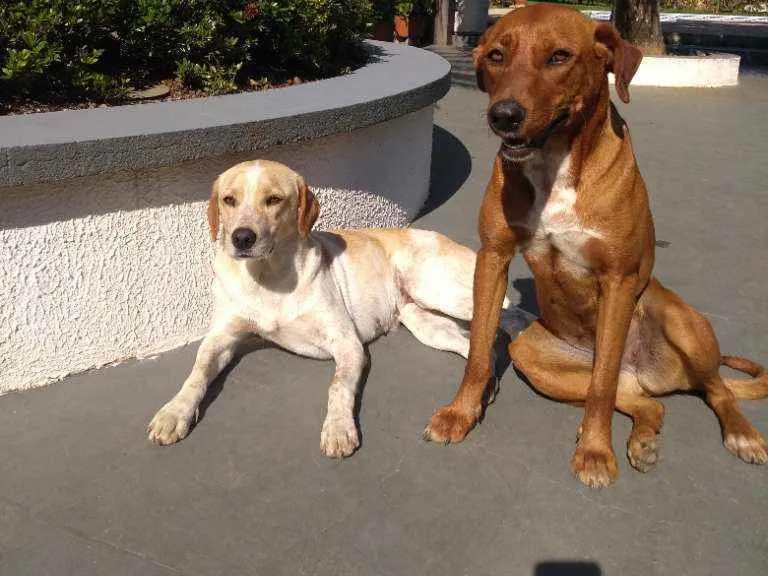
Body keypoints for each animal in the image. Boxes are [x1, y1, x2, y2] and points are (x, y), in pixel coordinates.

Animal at [148, 160, 528, 456]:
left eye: (274, 200)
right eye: (229, 200)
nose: (241, 238)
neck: (269, 277)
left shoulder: (347, 343)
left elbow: (338, 386)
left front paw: (338, 429)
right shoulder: (220, 339)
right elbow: (196, 374)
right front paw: (174, 413)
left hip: (440, 288)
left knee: (511, 313)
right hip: (425, 323)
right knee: (475, 345)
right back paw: (484, 387)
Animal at [423, 4, 768, 487]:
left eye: (559, 57)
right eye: (496, 56)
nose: (503, 115)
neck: (554, 164)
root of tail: (648, 373)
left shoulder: (618, 280)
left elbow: (602, 385)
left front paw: (594, 452)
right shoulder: (493, 257)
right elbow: (477, 352)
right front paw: (461, 413)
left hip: (679, 321)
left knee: (714, 389)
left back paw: (742, 434)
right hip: (532, 354)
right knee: (644, 401)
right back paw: (642, 438)